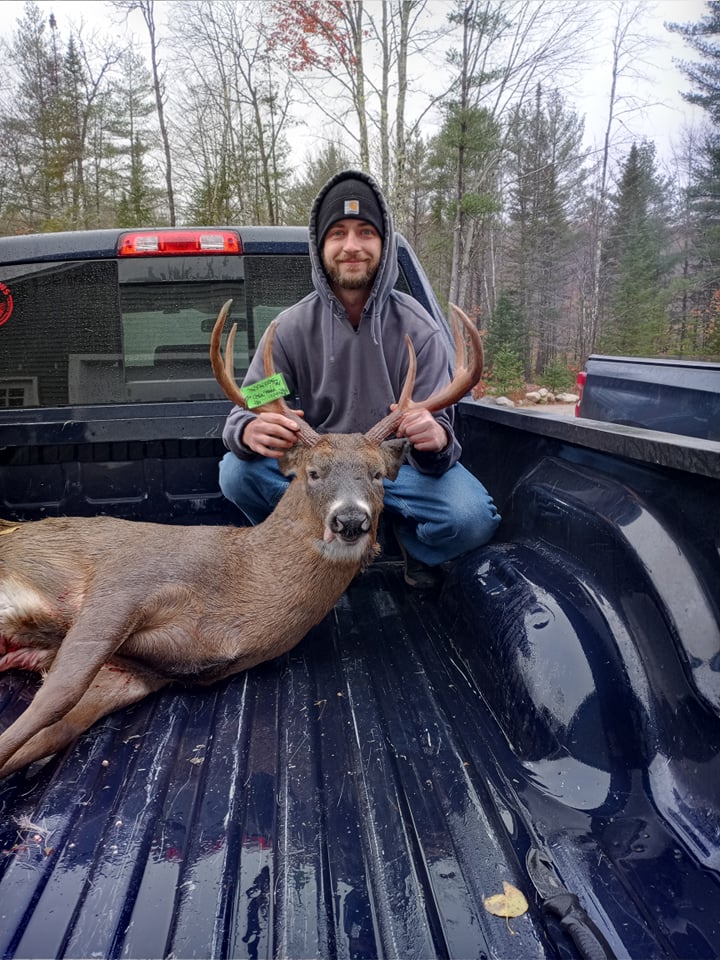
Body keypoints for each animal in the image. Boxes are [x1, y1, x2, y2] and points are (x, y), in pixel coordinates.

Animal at [0, 304, 484, 776]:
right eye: (313, 472)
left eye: (378, 475)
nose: (350, 520)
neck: (236, 594)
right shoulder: (125, 581)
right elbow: (55, 698)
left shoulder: (135, 674)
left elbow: (48, 734)